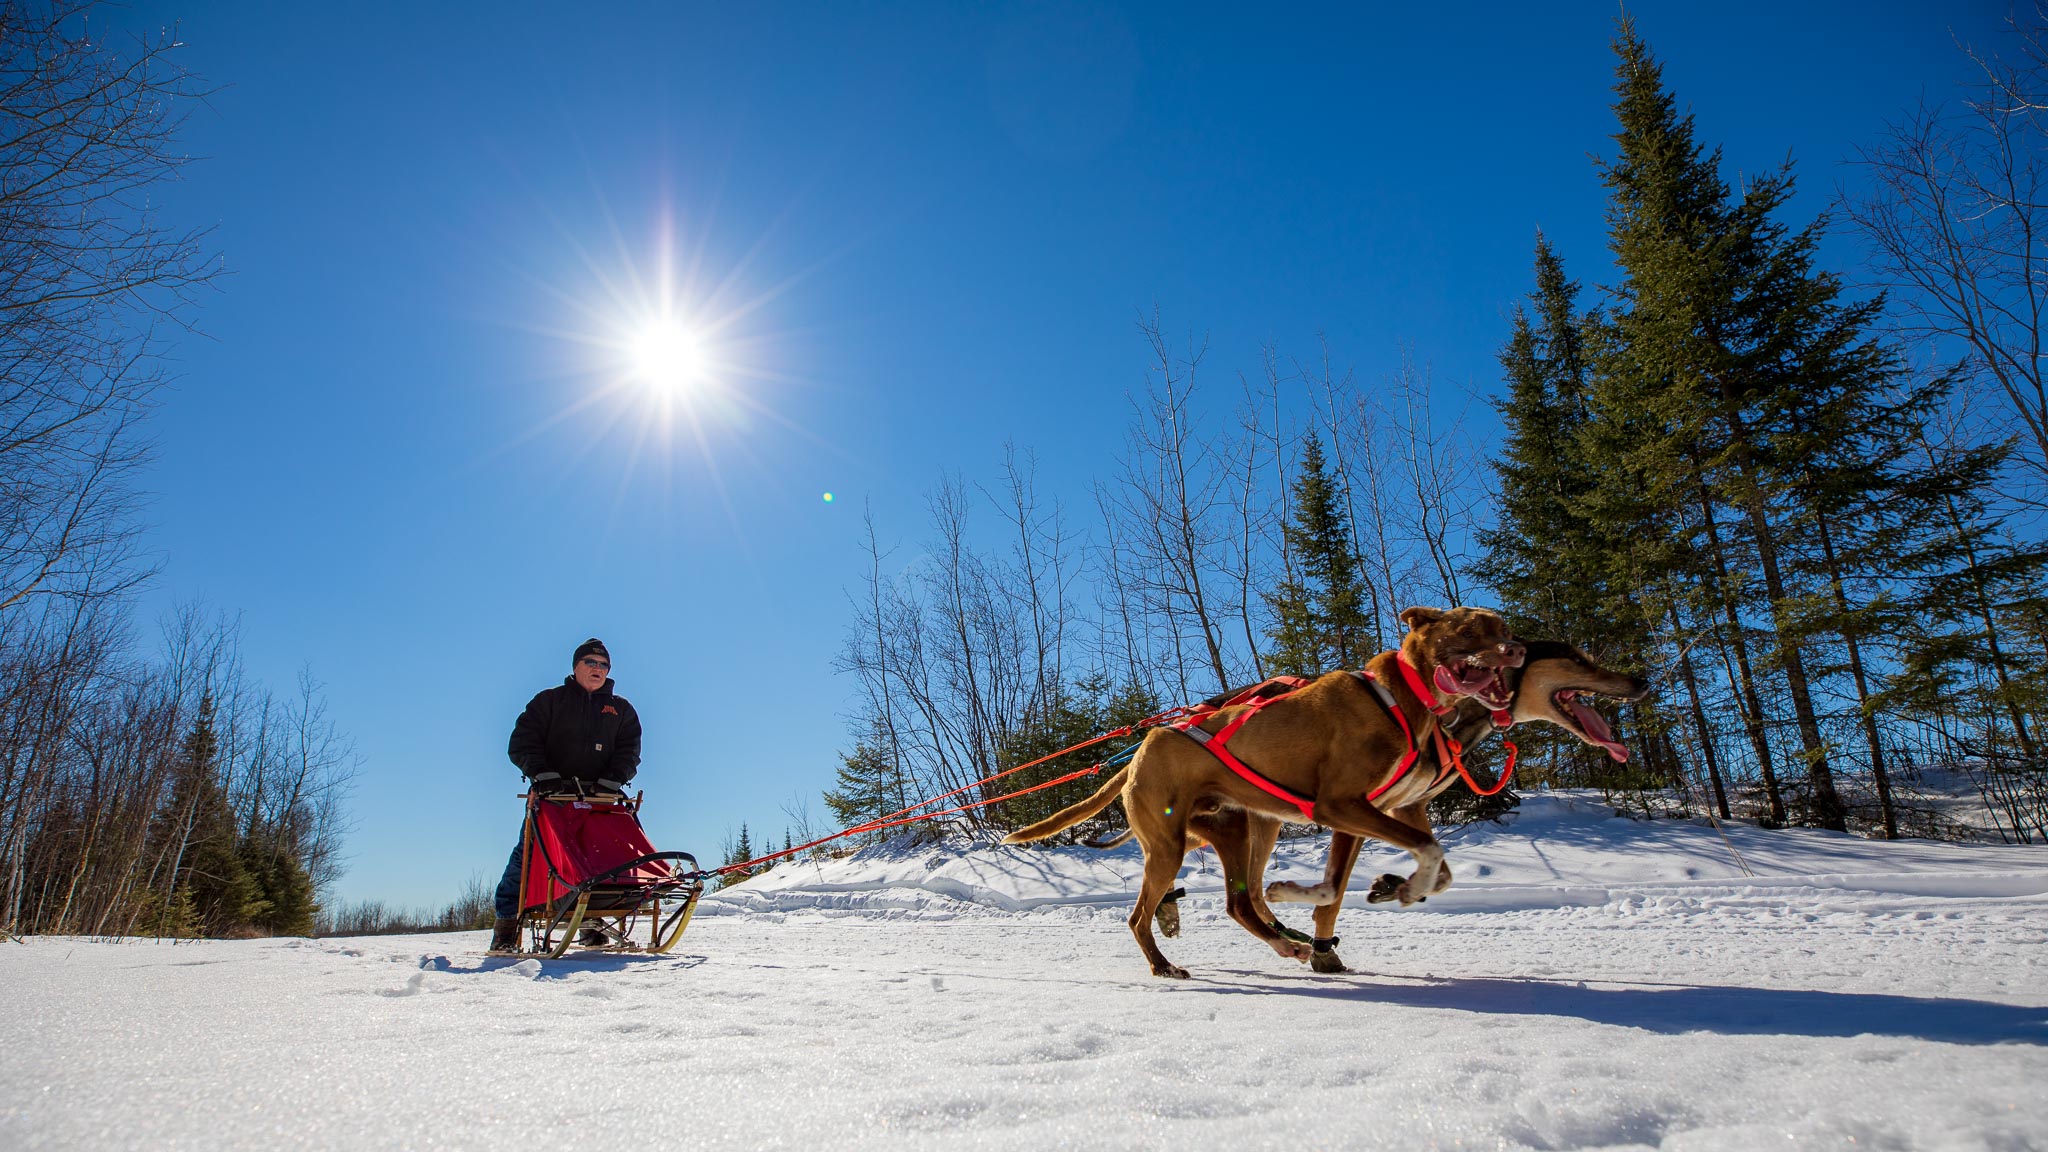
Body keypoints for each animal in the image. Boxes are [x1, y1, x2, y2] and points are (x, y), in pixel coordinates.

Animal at [999, 606, 1531, 971]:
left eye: (1503, 629)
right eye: (1469, 630)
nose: (1518, 650)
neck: (1396, 698)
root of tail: (1139, 753)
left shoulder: (1380, 813)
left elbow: (1425, 866)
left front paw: (1395, 885)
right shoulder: (1339, 806)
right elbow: (1427, 850)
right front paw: (1404, 886)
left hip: (1240, 829)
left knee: (1241, 900)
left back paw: (1282, 939)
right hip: (1180, 843)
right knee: (1147, 915)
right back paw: (1165, 965)